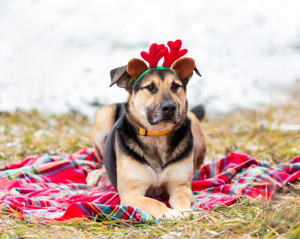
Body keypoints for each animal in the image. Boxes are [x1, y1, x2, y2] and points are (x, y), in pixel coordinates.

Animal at [85, 42, 205, 219]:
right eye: (150, 87)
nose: (170, 107)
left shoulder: (179, 185)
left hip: (196, 126)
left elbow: (182, 198)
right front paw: (168, 213)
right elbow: (153, 202)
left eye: (175, 86)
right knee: (102, 163)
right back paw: (97, 174)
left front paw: (184, 211)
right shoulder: (131, 193)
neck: (157, 135)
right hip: (103, 115)